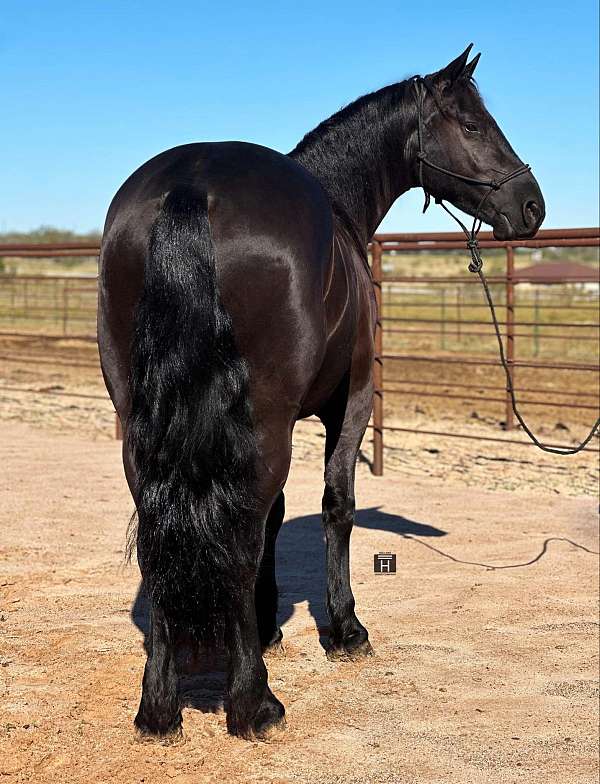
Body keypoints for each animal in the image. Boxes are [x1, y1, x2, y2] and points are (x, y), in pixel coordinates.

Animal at [97, 46, 544, 740]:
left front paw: (267, 623)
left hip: (143, 426)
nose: (531, 205)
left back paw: (160, 707)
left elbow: (278, 514)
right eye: (473, 125)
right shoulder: (349, 403)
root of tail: (191, 187)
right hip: (263, 420)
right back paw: (253, 703)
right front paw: (345, 628)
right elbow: (337, 506)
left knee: (159, 529)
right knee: (240, 534)